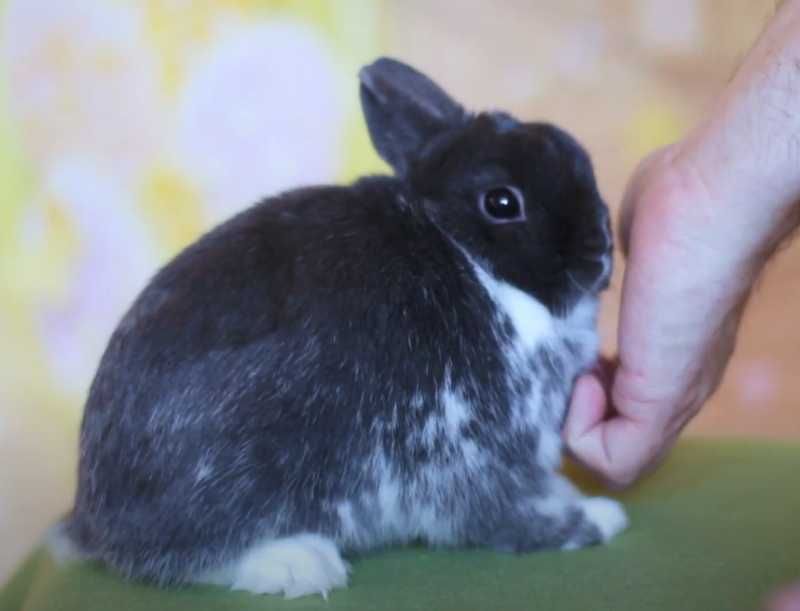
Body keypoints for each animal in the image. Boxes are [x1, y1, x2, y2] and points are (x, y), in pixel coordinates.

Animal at [52, 57, 626, 599]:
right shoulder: (472, 452)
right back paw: (297, 563)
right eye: (502, 203)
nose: (600, 250)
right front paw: (598, 518)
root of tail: (94, 522)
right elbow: (508, 515)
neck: (472, 258)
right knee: (192, 556)